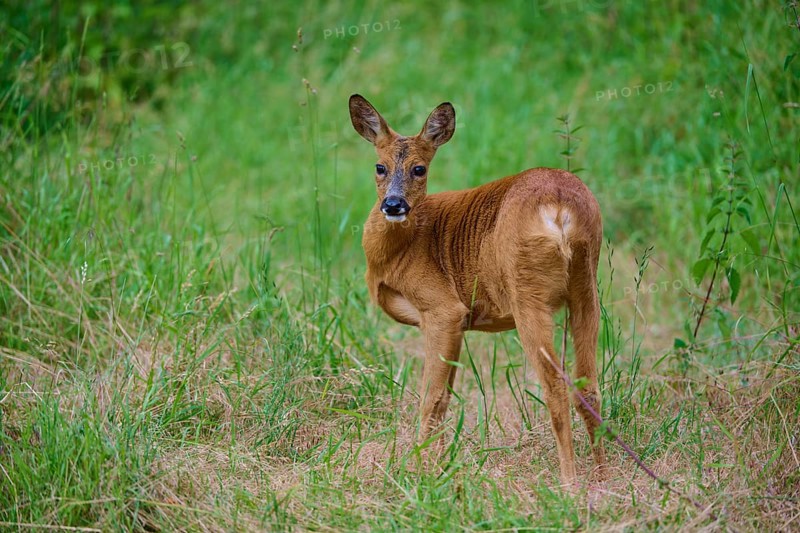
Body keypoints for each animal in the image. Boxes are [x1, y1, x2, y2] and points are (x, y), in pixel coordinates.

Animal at [348, 94, 607, 486]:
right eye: (380, 166)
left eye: (420, 169)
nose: (393, 205)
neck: (398, 252)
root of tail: (560, 206)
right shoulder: (458, 321)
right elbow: (444, 399)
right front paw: (438, 466)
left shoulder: (442, 309)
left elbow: (430, 398)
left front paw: (419, 470)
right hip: (586, 284)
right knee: (588, 385)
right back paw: (605, 475)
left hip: (527, 291)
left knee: (555, 386)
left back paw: (569, 482)